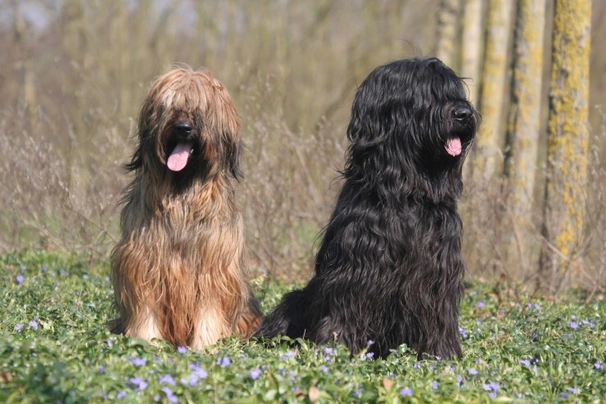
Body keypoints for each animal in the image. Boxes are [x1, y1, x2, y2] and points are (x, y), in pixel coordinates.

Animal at [110, 66, 262, 350]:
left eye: (201, 109)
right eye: (169, 107)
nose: (183, 128)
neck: (182, 195)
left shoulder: (212, 268)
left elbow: (209, 310)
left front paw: (206, 346)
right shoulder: (144, 262)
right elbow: (146, 307)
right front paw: (146, 343)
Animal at [256, 56, 480, 360]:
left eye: (454, 91)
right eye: (426, 93)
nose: (464, 114)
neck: (406, 191)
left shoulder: (439, 268)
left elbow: (439, 314)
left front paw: (441, 355)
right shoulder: (358, 265)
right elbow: (348, 306)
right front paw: (337, 350)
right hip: (297, 299)